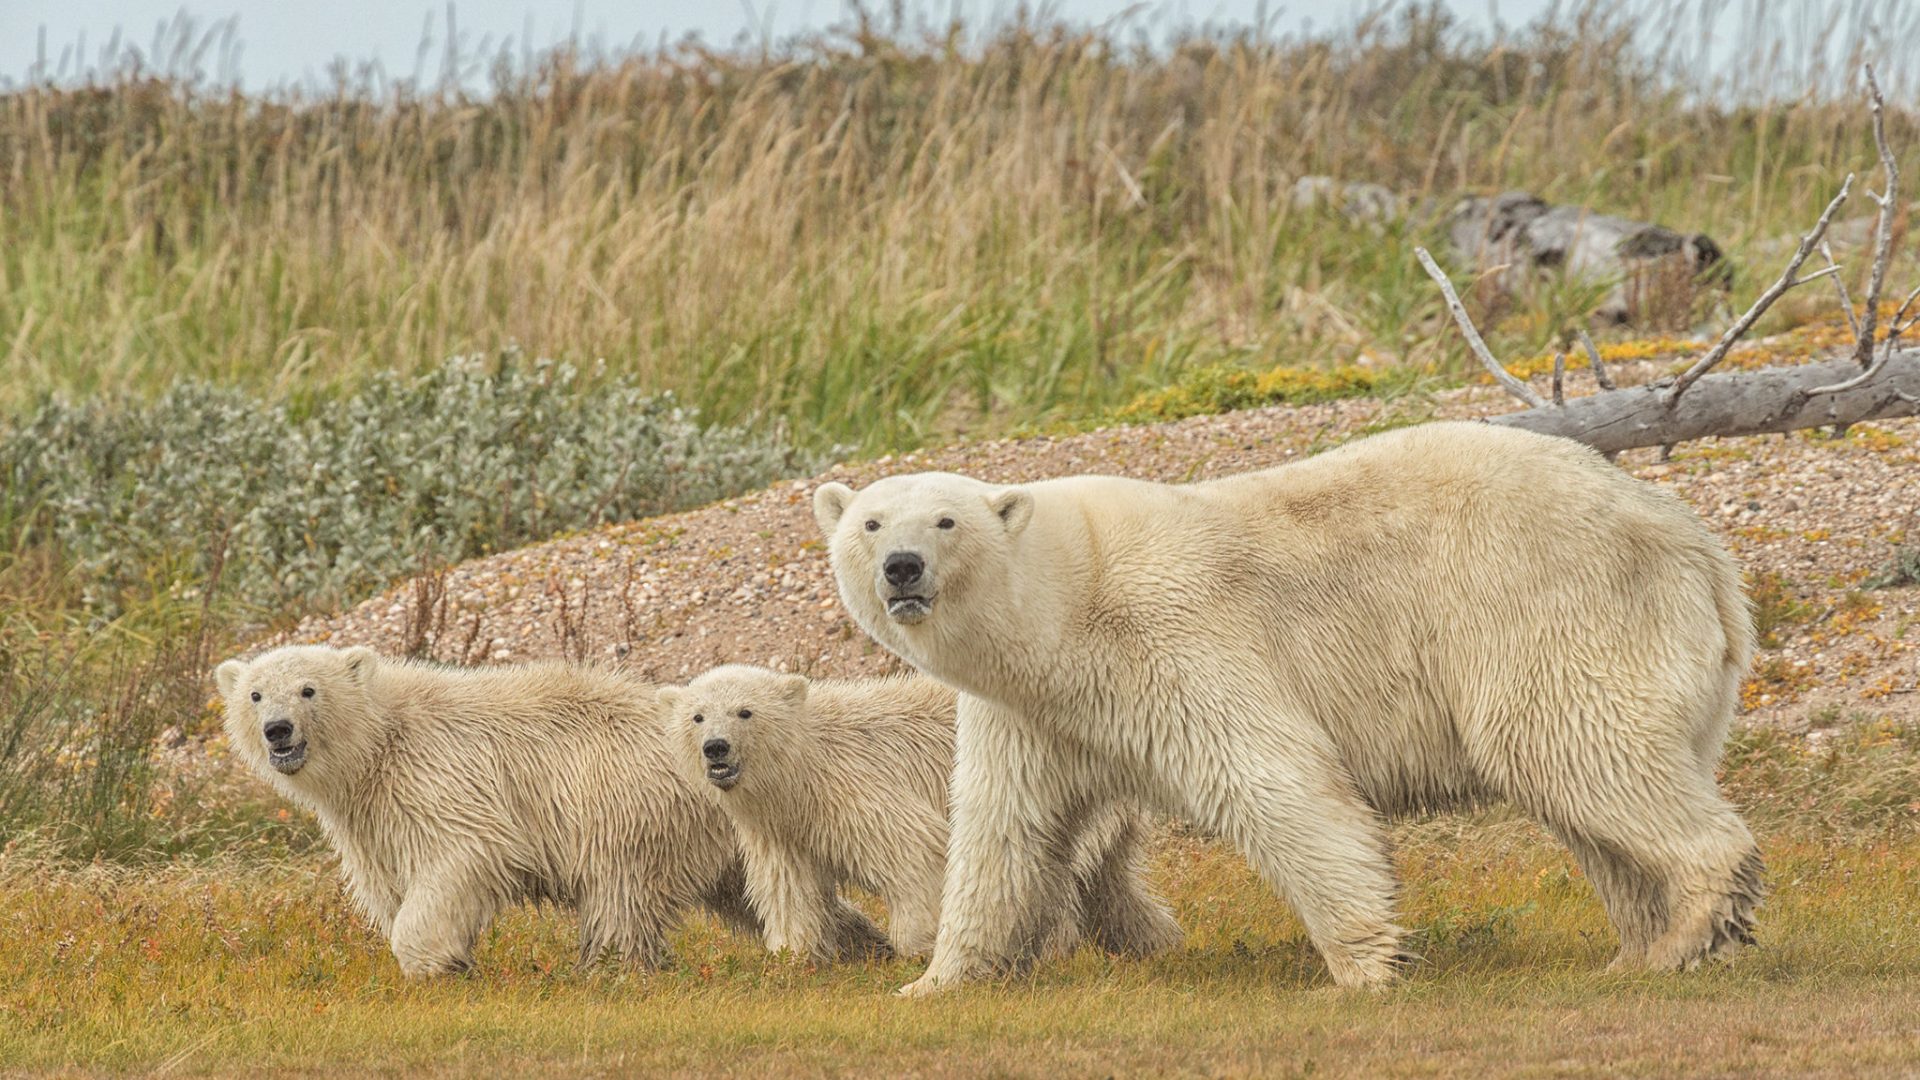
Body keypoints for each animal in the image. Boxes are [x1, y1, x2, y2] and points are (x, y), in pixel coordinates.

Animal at [214, 644, 881, 977]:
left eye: (308, 689)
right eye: (255, 694)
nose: (277, 730)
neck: (381, 743)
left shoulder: (443, 780)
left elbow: (464, 857)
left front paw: (436, 961)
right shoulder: (371, 820)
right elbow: (387, 884)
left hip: (636, 812)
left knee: (621, 894)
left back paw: (608, 967)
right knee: (744, 891)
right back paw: (862, 947)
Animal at [657, 664, 1181, 964]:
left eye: (744, 712)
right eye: (697, 716)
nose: (715, 748)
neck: (800, 772)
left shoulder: (855, 788)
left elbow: (912, 851)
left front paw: (919, 945)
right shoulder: (780, 830)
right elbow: (788, 889)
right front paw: (793, 956)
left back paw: (1050, 947)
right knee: (1110, 882)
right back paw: (1155, 942)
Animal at [813, 420, 1762, 994]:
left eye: (945, 521)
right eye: (869, 522)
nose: (901, 567)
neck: (1067, 606)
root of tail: (1699, 545)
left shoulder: (1177, 637)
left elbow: (1278, 781)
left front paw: (1366, 963)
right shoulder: (1033, 714)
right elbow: (1001, 831)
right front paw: (933, 981)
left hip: (1553, 604)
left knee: (1576, 745)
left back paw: (1688, 933)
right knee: (1591, 795)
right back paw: (1635, 948)